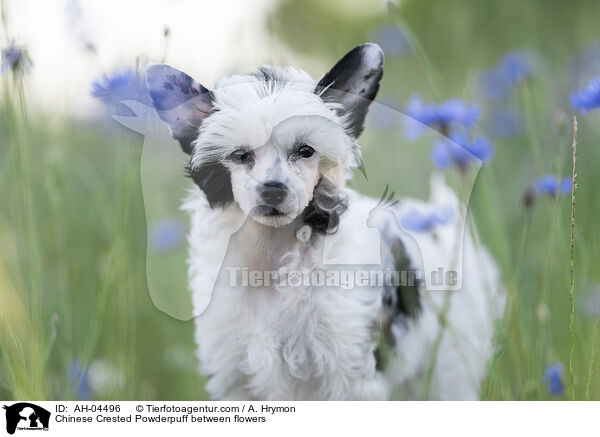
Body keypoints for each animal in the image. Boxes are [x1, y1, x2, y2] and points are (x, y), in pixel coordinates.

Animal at [145, 43, 506, 398]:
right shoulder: (235, 377)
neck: (272, 261)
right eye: (240, 155)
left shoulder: (347, 376)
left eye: (306, 151)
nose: (273, 189)